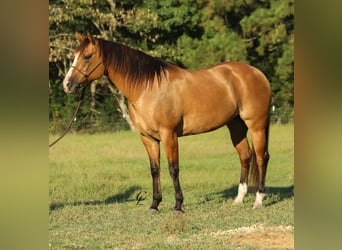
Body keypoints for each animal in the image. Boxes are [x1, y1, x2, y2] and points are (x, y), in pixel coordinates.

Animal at [61, 32, 270, 213]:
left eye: (87, 56)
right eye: (74, 56)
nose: (67, 85)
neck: (147, 88)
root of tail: (258, 73)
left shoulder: (169, 135)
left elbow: (173, 169)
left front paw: (178, 205)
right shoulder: (148, 138)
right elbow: (155, 169)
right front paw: (154, 205)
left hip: (256, 125)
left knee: (261, 157)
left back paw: (258, 200)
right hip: (236, 126)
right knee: (245, 156)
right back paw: (239, 199)